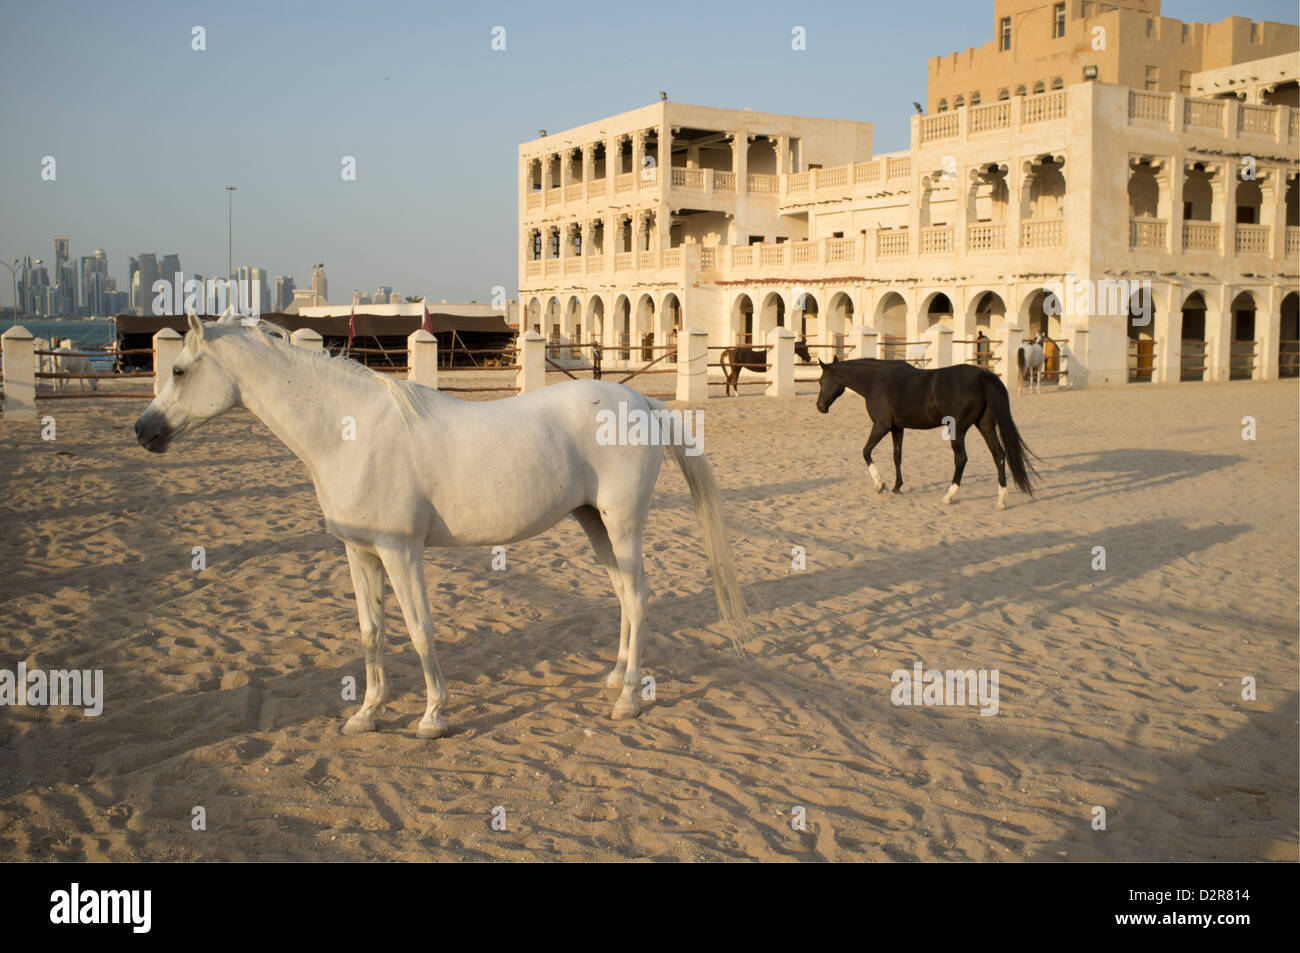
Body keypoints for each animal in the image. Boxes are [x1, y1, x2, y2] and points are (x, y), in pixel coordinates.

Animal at [134, 313, 753, 739]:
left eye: (180, 371)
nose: (144, 431)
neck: (348, 432)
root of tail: (642, 401)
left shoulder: (400, 550)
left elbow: (419, 629)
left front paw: (432, 716)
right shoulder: (360, 552)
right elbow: (372, 632)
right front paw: (366, 714)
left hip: (622, 526)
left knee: (640, 597)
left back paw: (628, 700)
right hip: (594, 525)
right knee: (625, 596)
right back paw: (614, 679)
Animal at [815, 356, 1037, 510]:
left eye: (821, 381)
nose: (820, 406)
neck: (876, 381)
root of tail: (983, 376)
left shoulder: (881, 426)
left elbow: (866, 451)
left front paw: (880, 484)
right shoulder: (897, 428)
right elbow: (897, 456)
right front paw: (897, 487)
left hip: (958, 429)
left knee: (961, 458)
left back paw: (948, 496)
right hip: (985, 425)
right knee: (999, 455)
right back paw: (1001, 501)